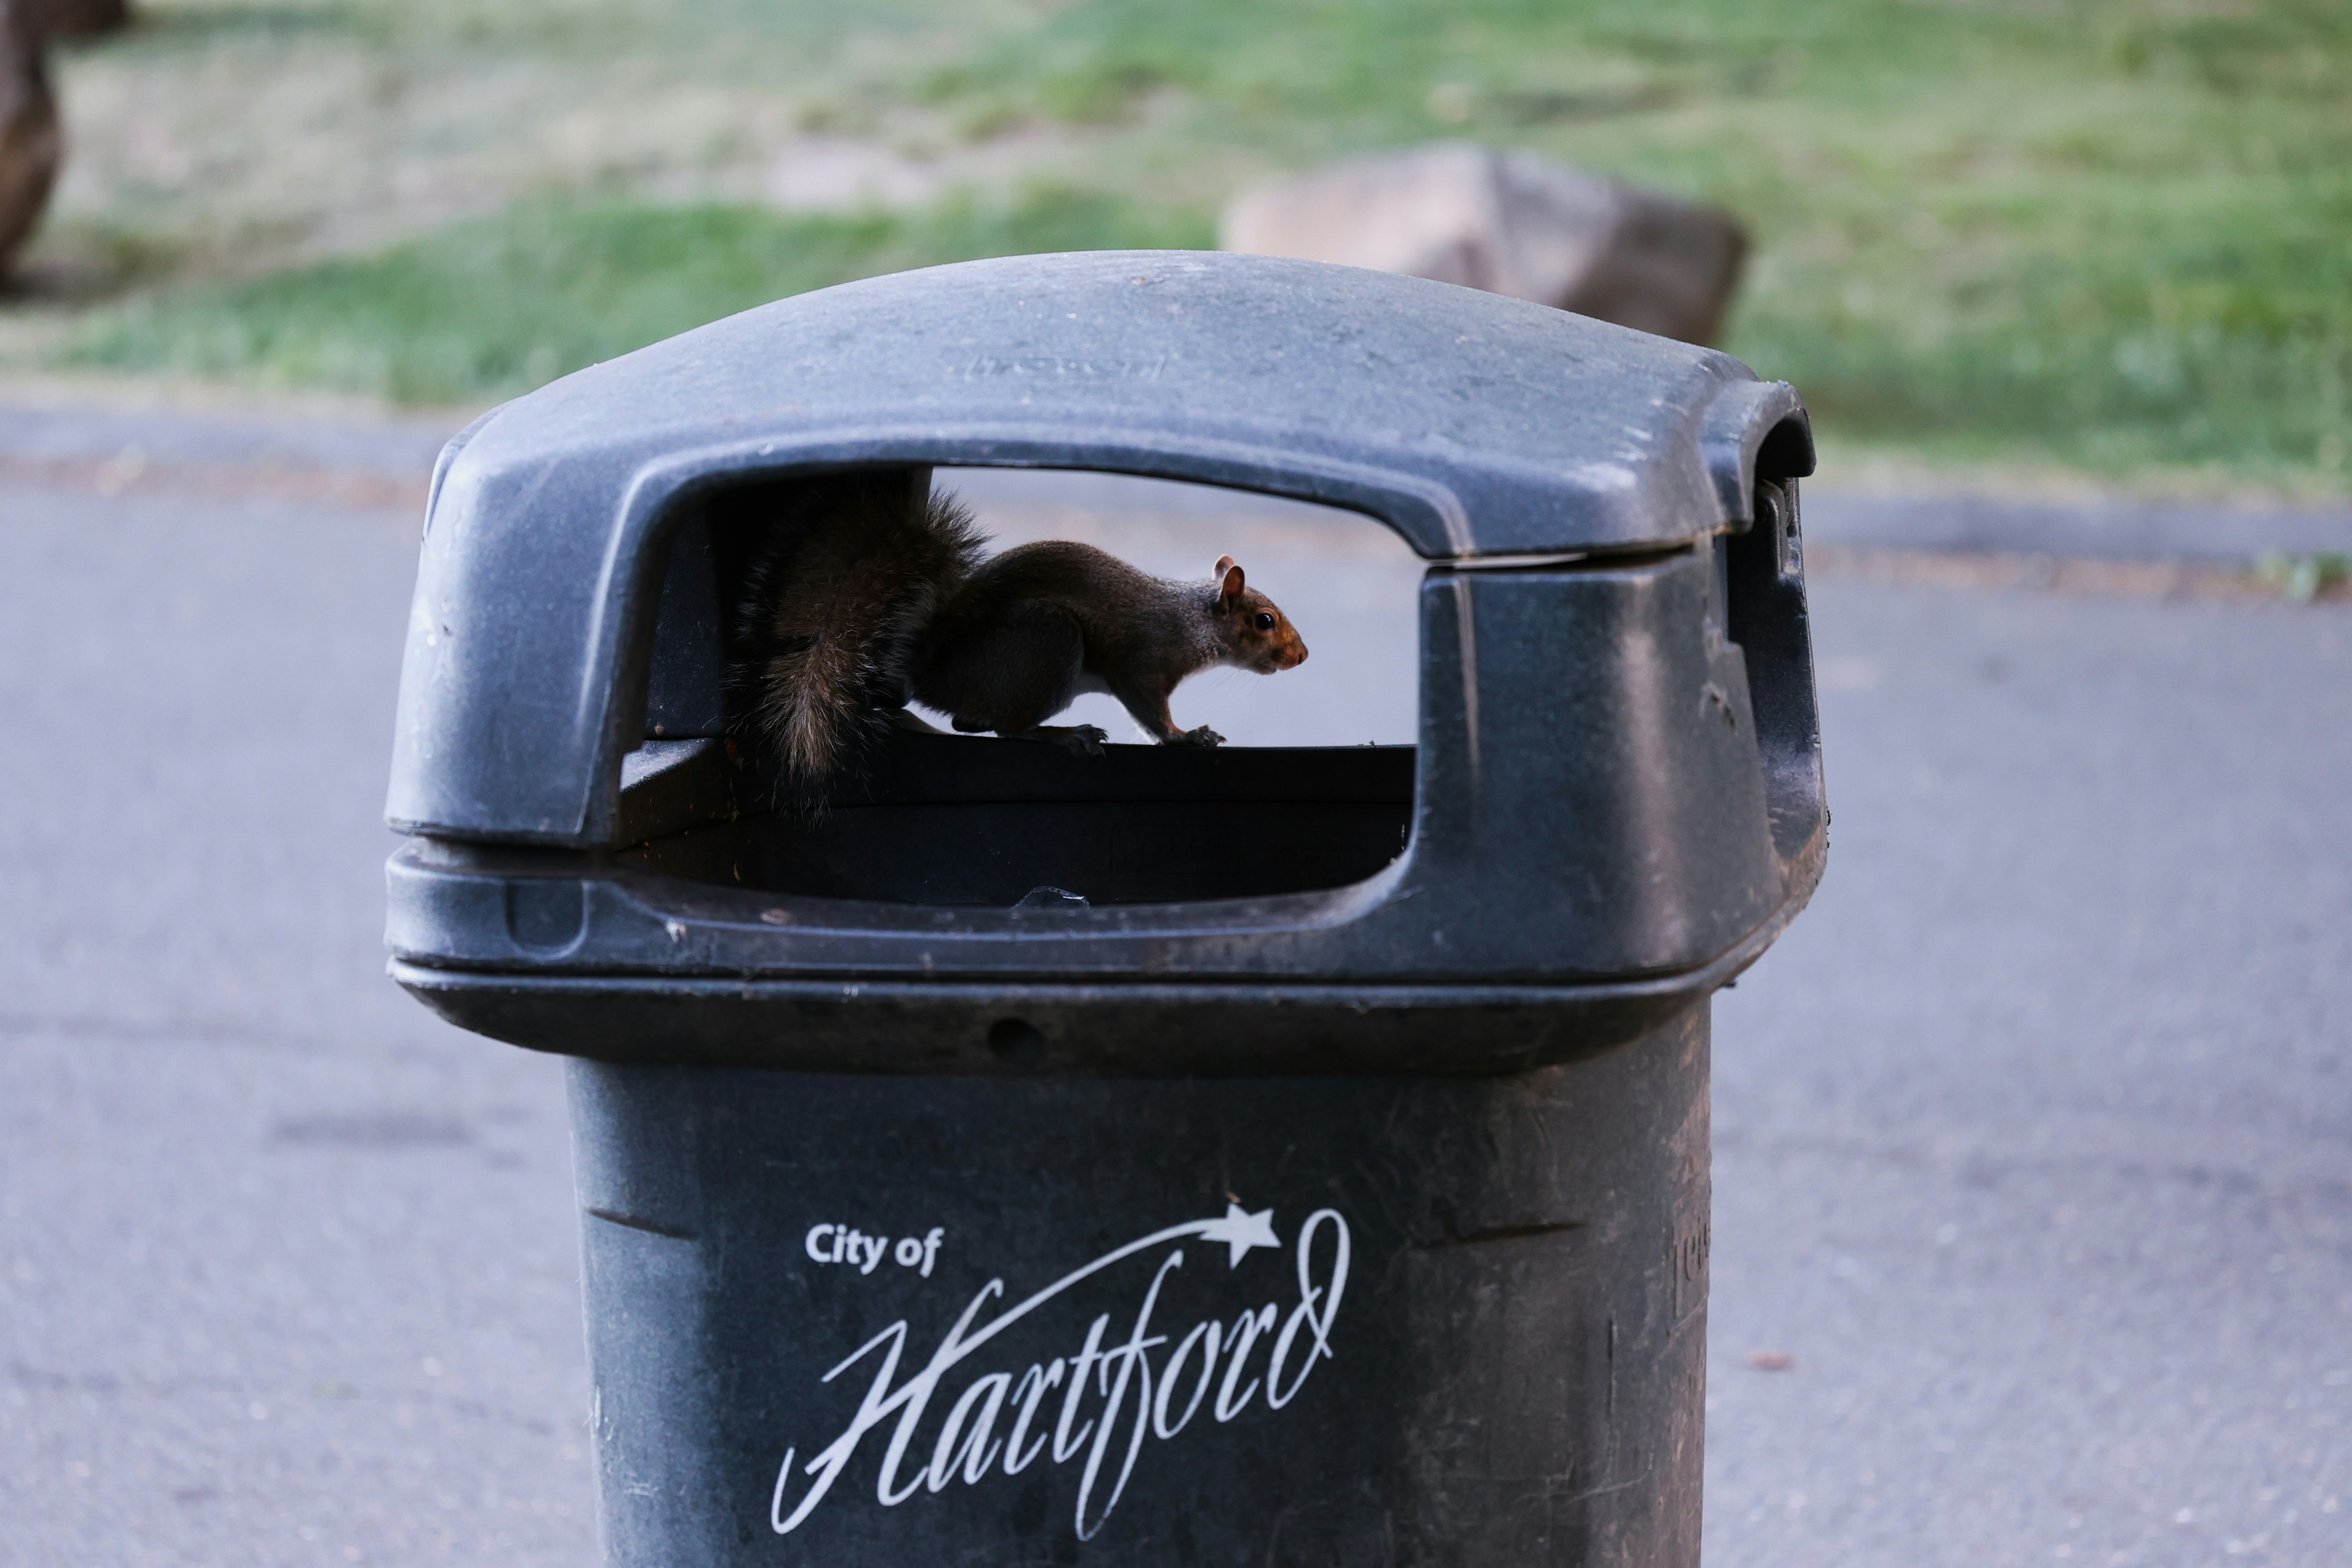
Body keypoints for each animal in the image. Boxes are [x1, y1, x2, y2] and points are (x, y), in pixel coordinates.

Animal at [729, 470, 1310, 791]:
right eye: (1264, 621)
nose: (1301, 656)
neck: (1192, 621)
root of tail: (930, 666)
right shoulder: (1143, 662)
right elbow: (1150, 712)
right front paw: (1186, 736)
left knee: (967, 724)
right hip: (1048, 645)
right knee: (1008, 729)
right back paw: (1065, 734)